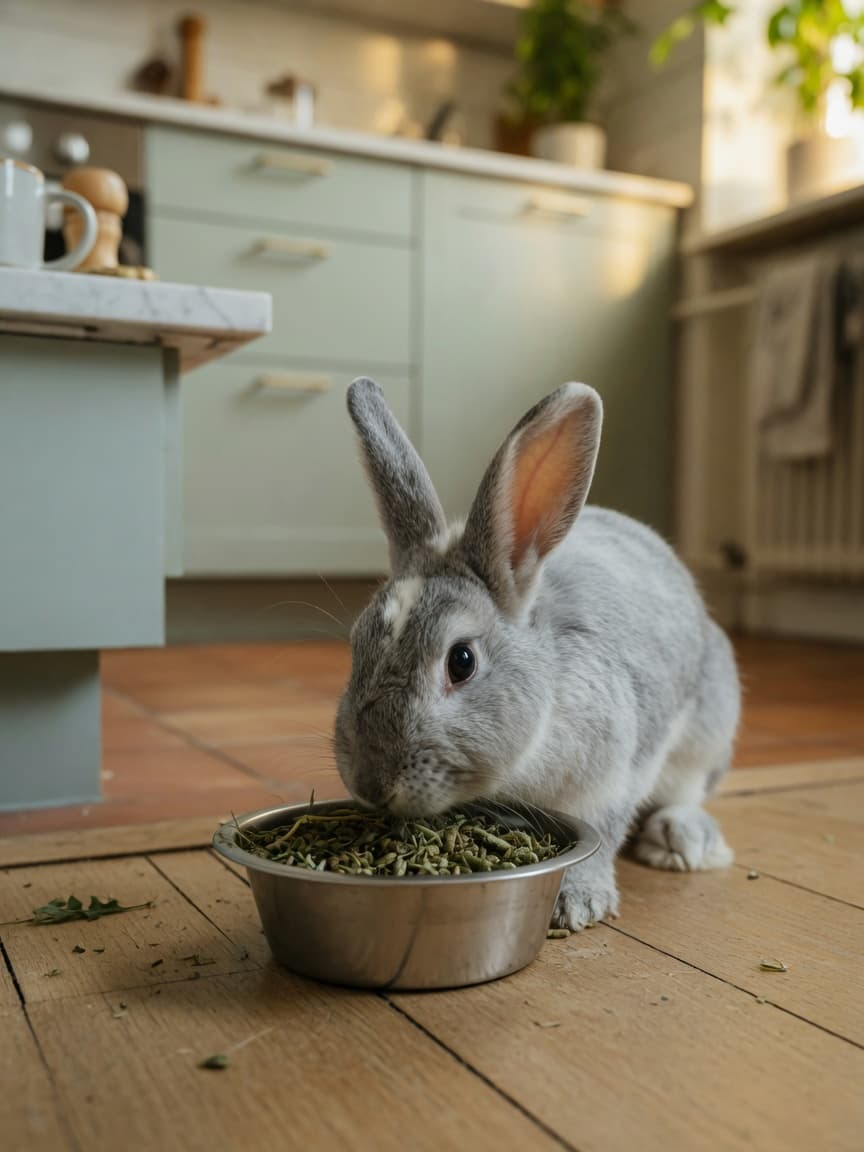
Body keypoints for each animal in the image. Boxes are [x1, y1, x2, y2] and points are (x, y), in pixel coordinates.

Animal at [334, 377, 740, 930]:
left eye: (461, 661)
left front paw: (577, 904)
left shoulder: (613, 776)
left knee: (687, 791)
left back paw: (683, 842)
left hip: (708, 729)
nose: (371, 784)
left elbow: (601, 834)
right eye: (357, 644)